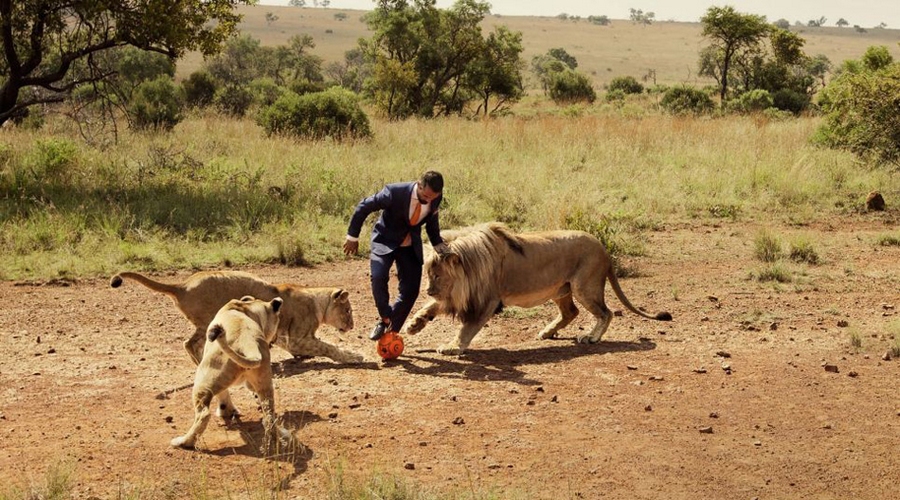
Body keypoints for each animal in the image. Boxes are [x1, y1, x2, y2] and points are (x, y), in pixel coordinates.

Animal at [112, 270, 362, 368]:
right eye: (348, 310)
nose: (352, 325)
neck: (317, 301)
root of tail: (182, 285)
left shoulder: (285, 337)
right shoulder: (298, 338)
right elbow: (328, 347)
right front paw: (354, 356)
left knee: (190, 343)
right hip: (208, 320)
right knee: (190, 343)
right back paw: (201, 362)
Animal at [171, 294, 290, 452]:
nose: (275, 339)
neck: (248, 307)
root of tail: (248, 343)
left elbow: (222, 394)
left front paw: (226, 412)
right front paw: (229, 411)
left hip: (204, 377)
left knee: (203, 414)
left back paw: (183, 442)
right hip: (265, 384)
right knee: (269, 415)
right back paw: (279, 437)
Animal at [400, 223, 668, 356]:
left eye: (436, 275)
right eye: (428, 275)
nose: (428, 290)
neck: (470, 266)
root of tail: (602, 247)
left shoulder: (486, 301)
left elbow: (467, 328)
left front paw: (452, 347)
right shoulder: (456, 296)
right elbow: (432, 307)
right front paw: (414, 324)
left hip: (584, 286)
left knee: (606, 312)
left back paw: (591, 337)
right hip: (562, 289)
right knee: (571, 312)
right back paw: (547, 332)